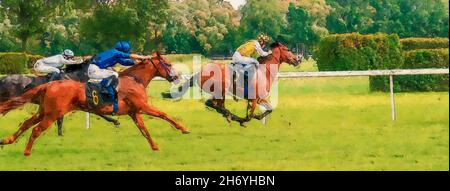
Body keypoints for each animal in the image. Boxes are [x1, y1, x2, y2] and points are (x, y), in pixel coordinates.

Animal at [0, 51, 190, 156]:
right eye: (168, 63)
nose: (176, 77)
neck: (135, 79)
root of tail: (50, 84)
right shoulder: (143, 107)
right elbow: (163, 114)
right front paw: (183, 128)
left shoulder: (134, 111)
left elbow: (144, 130)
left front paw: (155, 147)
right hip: (52, 113)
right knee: (36, 130)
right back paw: (26, 152)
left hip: (44, 111)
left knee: (26, 124)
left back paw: (7, 140)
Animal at [160, 42, 300, 125]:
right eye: (287, 49)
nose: (298, 59)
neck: (263, 71)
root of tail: (199, 72)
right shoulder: (254, 99)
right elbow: (249, 116)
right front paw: (244, 119)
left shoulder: (260, 98)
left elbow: (269, 109)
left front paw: (257, 117)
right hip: (221, 89)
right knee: (212, 103)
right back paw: (230, 115)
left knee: (217, 105)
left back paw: (228, 115)